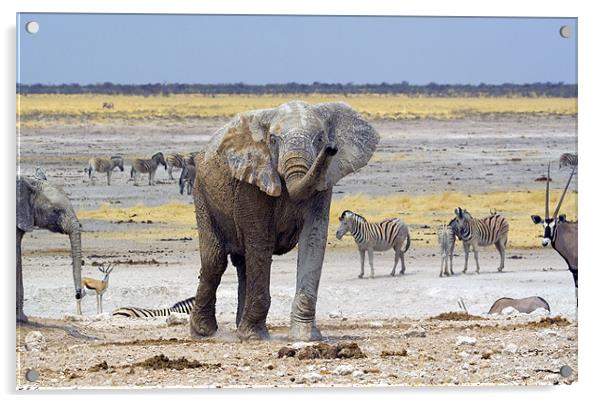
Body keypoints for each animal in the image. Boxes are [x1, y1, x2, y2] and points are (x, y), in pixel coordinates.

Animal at [190, 101, 378, 340]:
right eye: (272, 140)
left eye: (320, 139)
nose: (331, 148)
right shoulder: (251, 181)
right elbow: (260, 242)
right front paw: (254, 337)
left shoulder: (322, 182)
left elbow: (313, 239)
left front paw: (306, 336)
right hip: (201, 193)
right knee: (215, 261)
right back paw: (204, 332)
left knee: (242, 263)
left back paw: (238, 327)